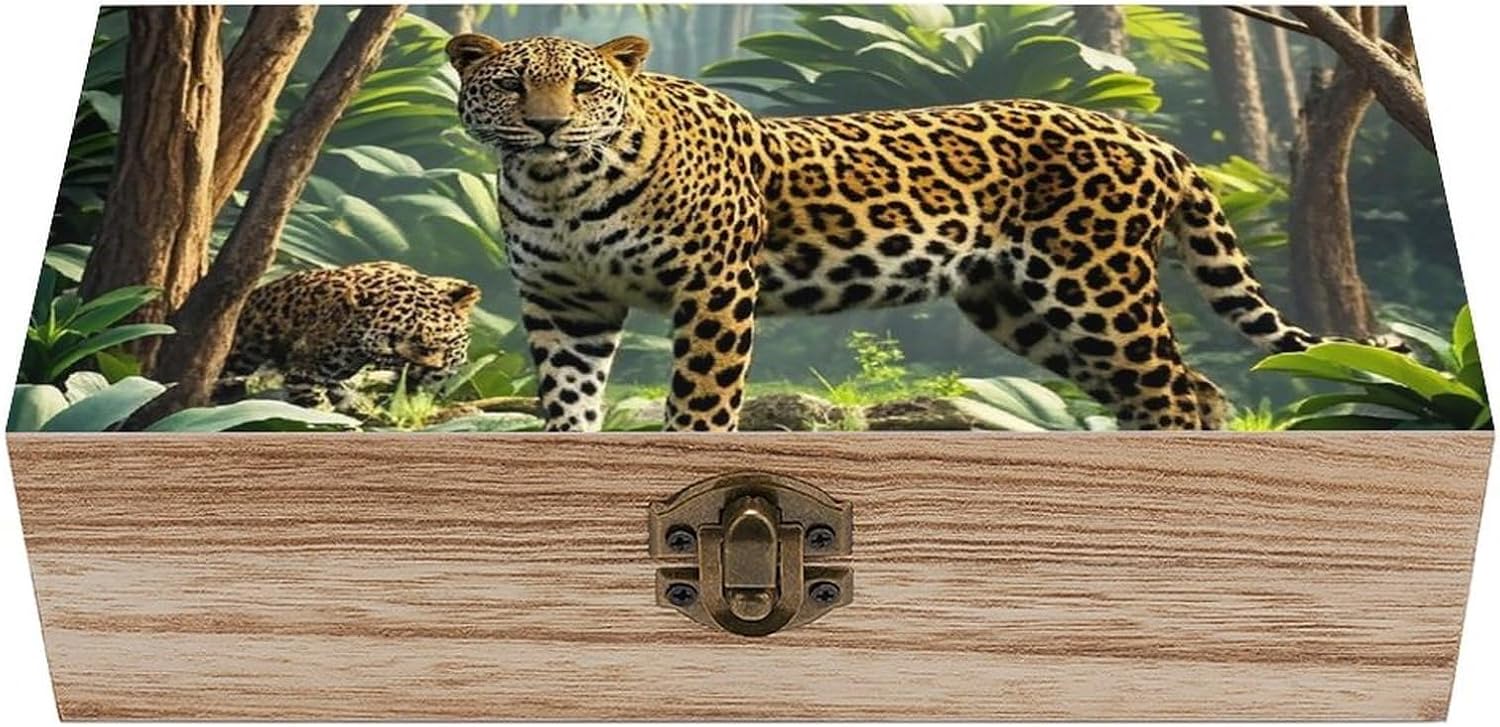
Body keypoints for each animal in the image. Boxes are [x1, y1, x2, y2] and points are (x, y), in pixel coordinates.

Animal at [445, 32, 1402, 431]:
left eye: (585, 88)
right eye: (511, 85)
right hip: (1021, 306)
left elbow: (701, 403)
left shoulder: (715, 288)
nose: (546, 127)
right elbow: (568, 405)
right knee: (1186, 389)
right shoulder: (566, 306)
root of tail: (1149, 137)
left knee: (1174, 391)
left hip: (1097, 289)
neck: (559, 186)